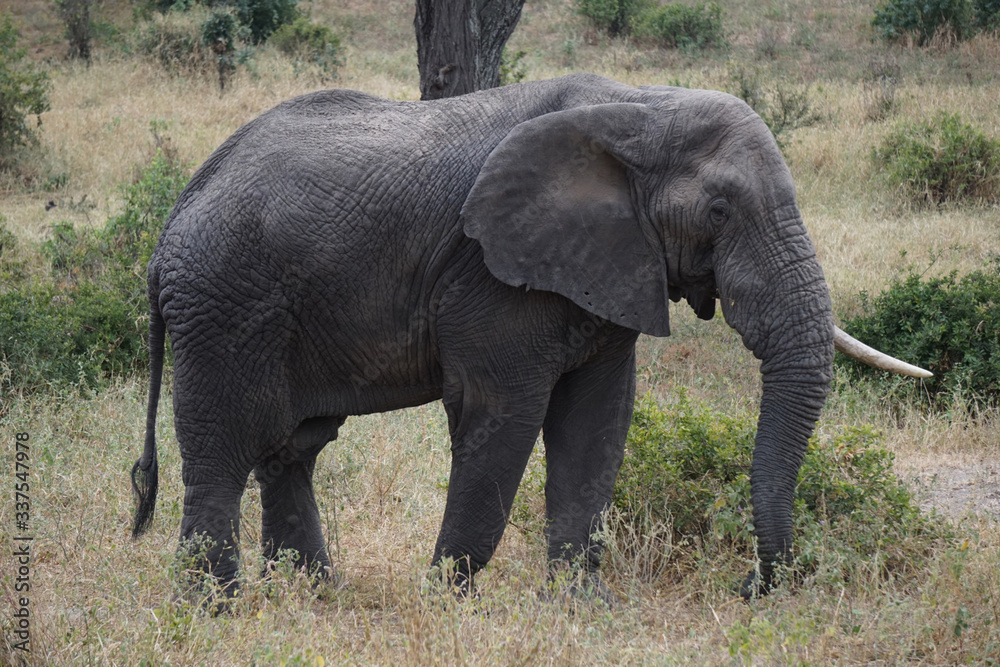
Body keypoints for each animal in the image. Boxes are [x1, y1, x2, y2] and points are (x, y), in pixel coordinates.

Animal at [133, 73, 928, 600]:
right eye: (720, 210)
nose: (750, 586)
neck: (640, 108)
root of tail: (172, 221)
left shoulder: (608, 267)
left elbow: (598, 424)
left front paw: (580, 607)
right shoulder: (493, 278)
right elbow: (503, 417)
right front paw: (447, 602)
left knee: (291, 449)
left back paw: (311, 598)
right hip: (224, 307)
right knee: (223, 454)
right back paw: (214, 610)